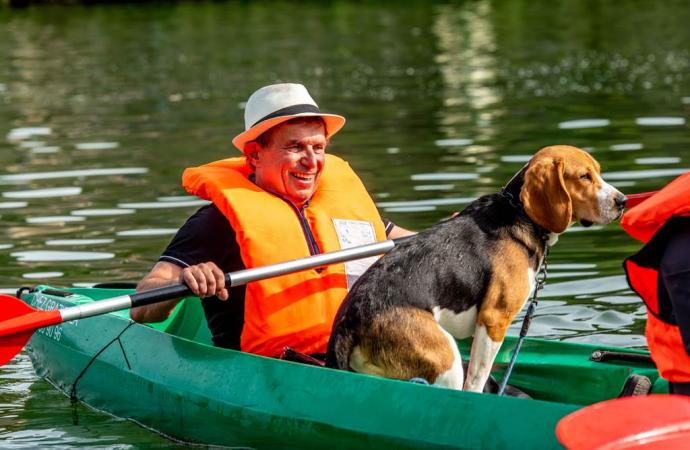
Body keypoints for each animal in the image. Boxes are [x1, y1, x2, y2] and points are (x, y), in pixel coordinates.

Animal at [326, 146, 628, 392]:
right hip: (445, 359)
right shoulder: (494, 319)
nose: (622, 201)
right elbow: (477, 378)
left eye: (598, 172)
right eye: (584, 177)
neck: (519, 211)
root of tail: (349, 319)